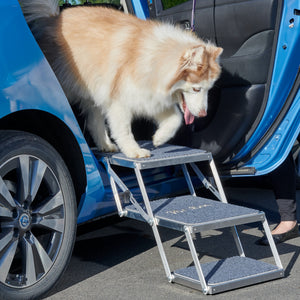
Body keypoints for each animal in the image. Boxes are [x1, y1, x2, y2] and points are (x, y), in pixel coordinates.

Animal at [19, 0, 221, 158]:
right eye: (196, 89)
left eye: (208, 89)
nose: (203, 114)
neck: (155, 60)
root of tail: (52, 18)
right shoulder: (120, 101)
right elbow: (124, 130)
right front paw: (134, 151)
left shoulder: (149, 98)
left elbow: (176, 118)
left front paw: (159, 138)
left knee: (93, 122)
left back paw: (105, 145)